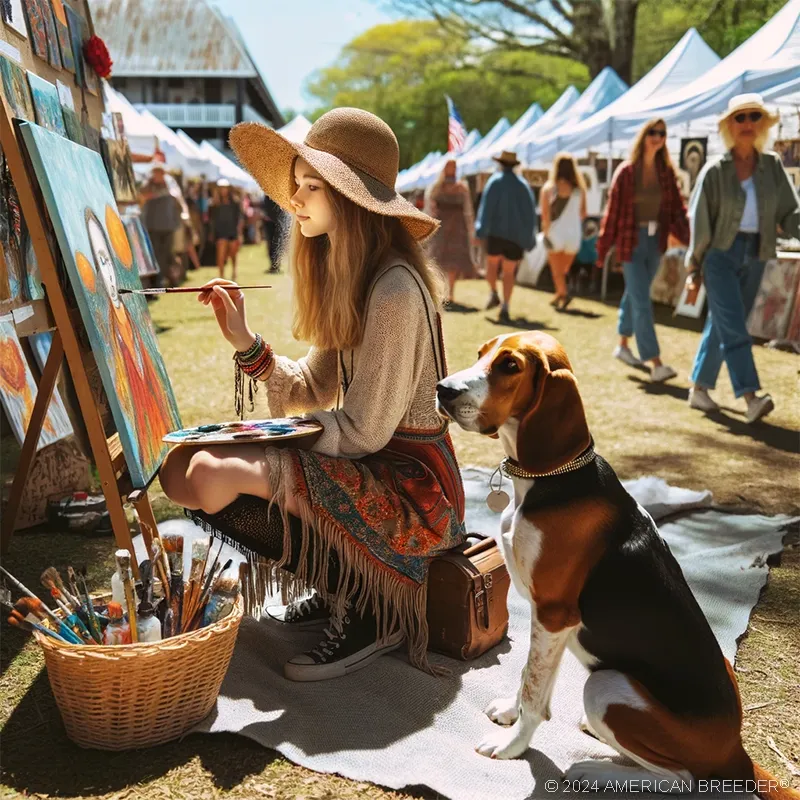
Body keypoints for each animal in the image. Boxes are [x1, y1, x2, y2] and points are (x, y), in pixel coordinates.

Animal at [438, 330, 792, 792]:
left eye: (510, 366)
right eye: (481, 353)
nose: (442, 390)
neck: (551, 479)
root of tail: (737, 753)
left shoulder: (554, 613)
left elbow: (534, 690)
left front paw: (513, 745)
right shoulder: (543, 619)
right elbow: (530, 674)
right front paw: (511, 714)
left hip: (604, 685)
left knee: (683, 778)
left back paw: (593, 769)